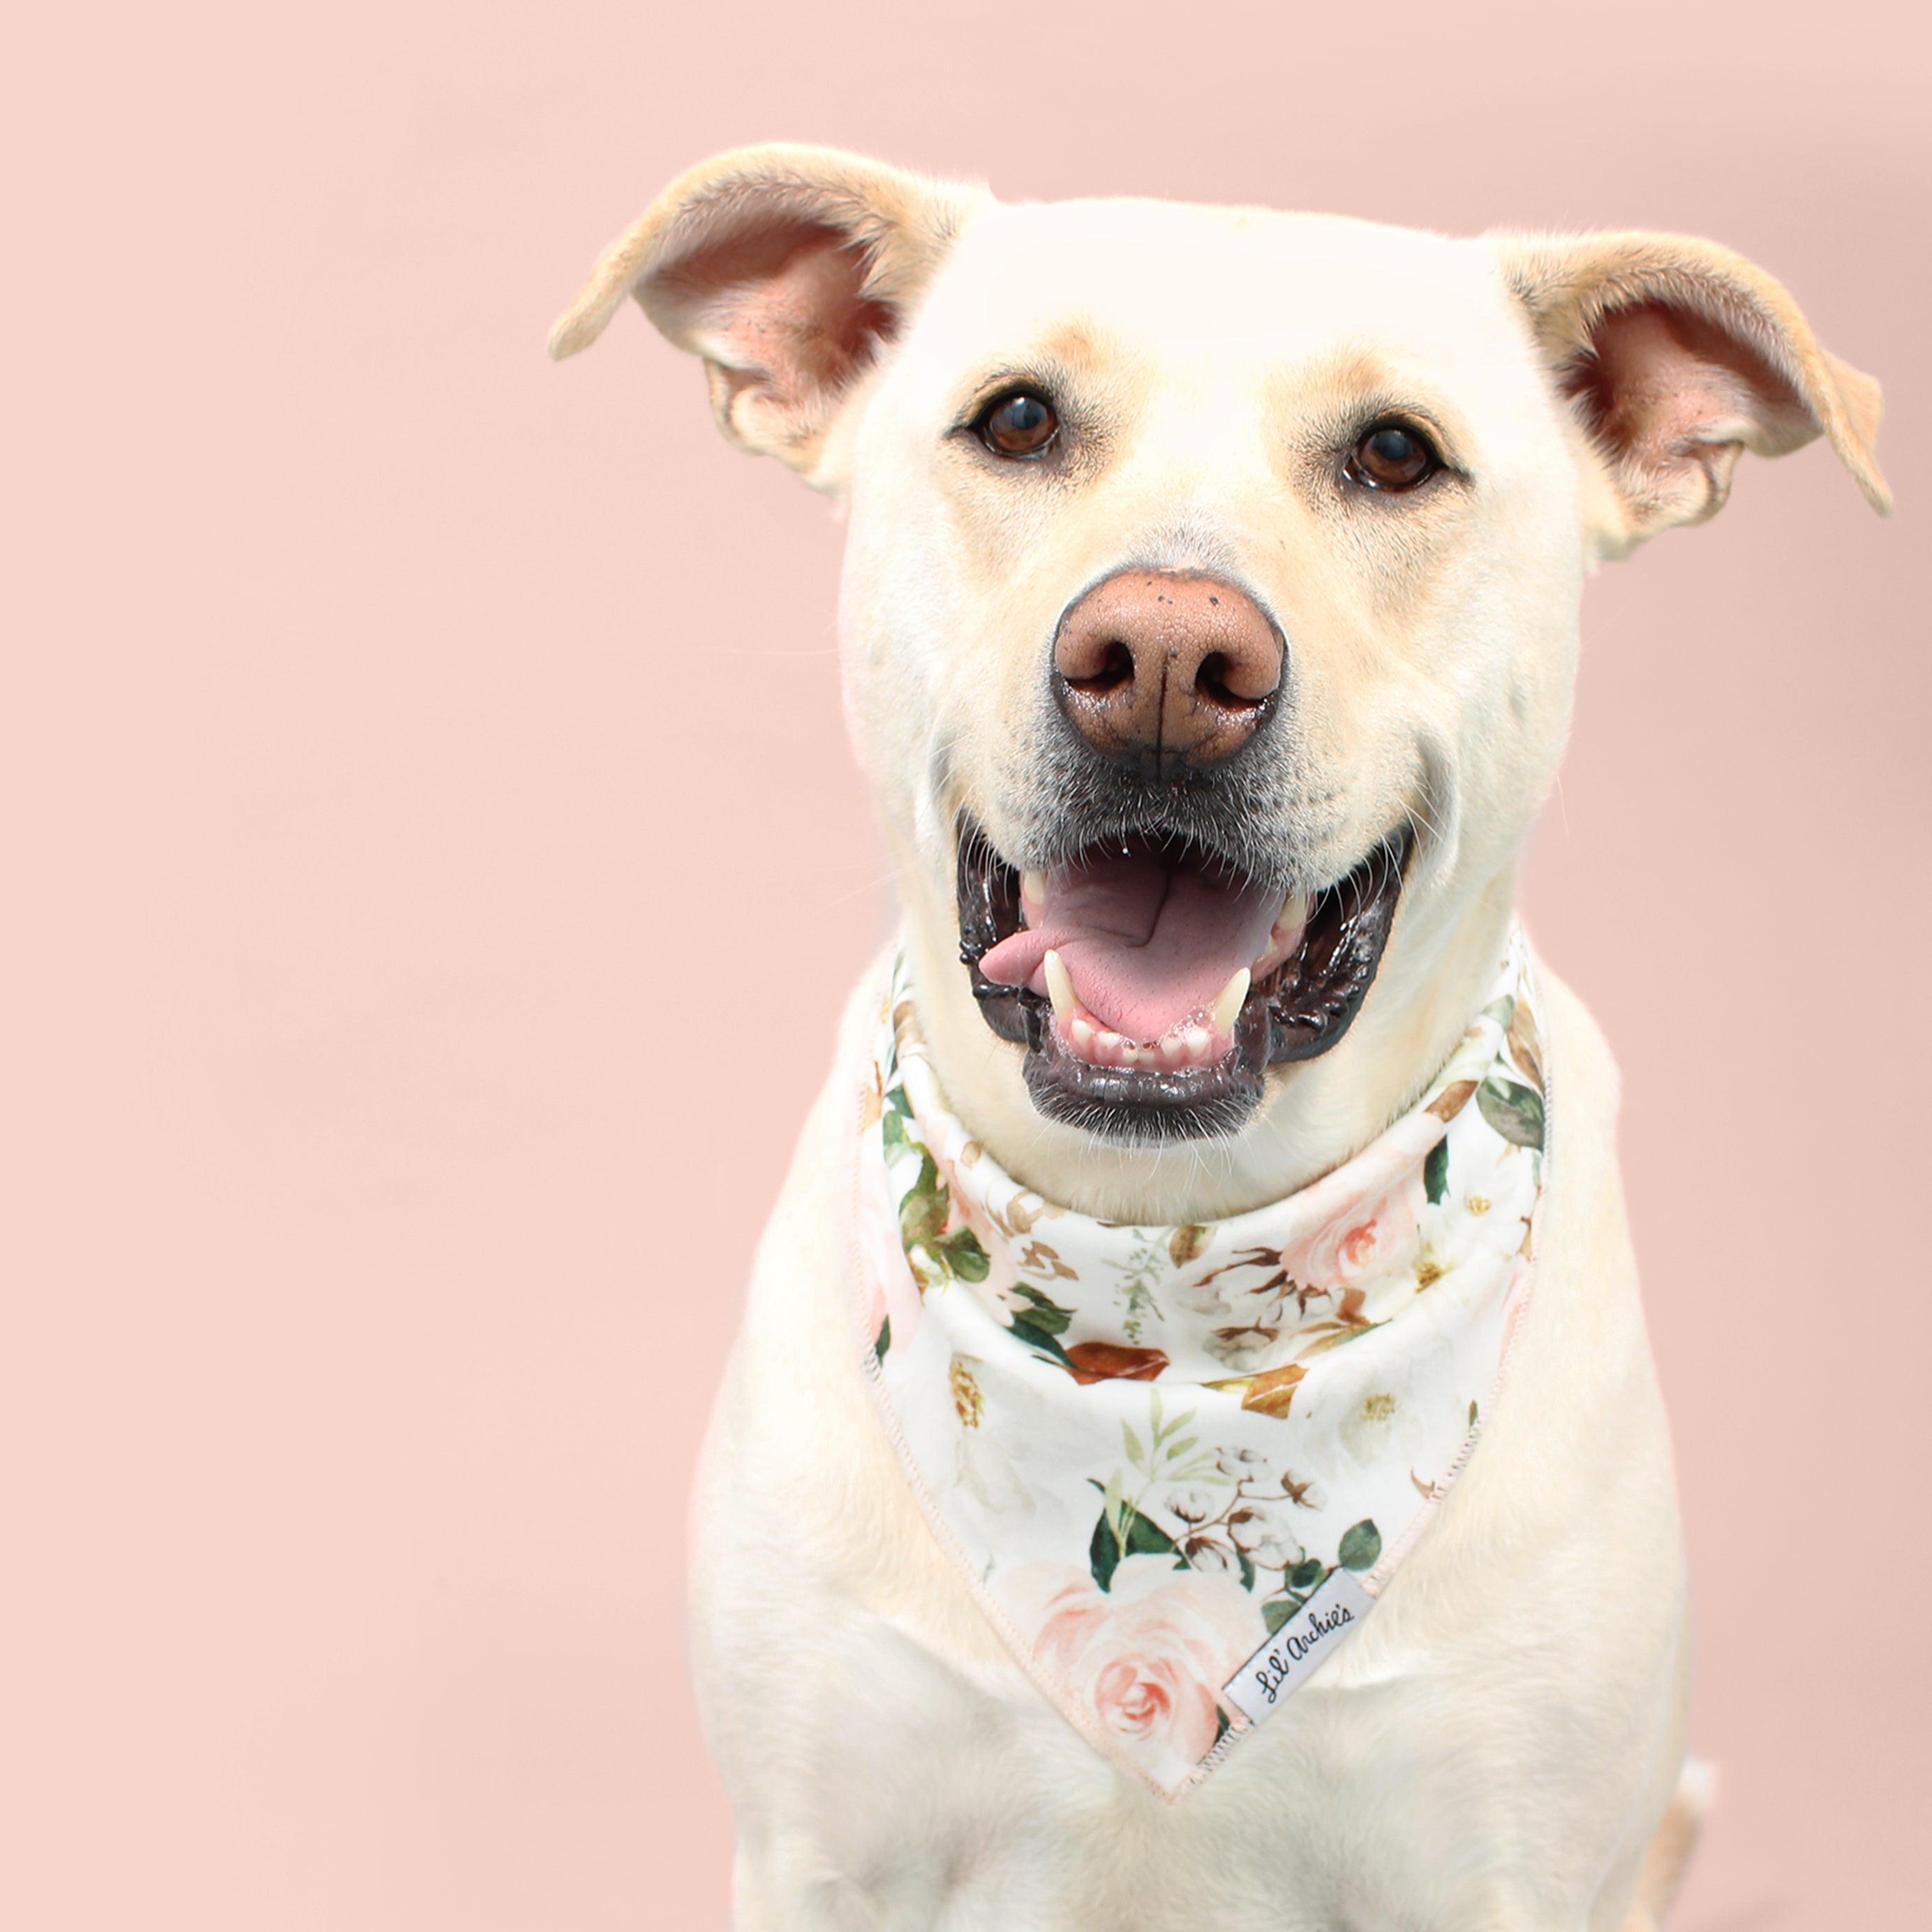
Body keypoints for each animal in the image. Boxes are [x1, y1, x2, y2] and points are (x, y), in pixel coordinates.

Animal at [549, 150, 1885, 1932]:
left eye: (1395, 453)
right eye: (1016, 419)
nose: (1168, 662)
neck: (1156, 1282)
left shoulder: (1512, 1871)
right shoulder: (817, 1853)